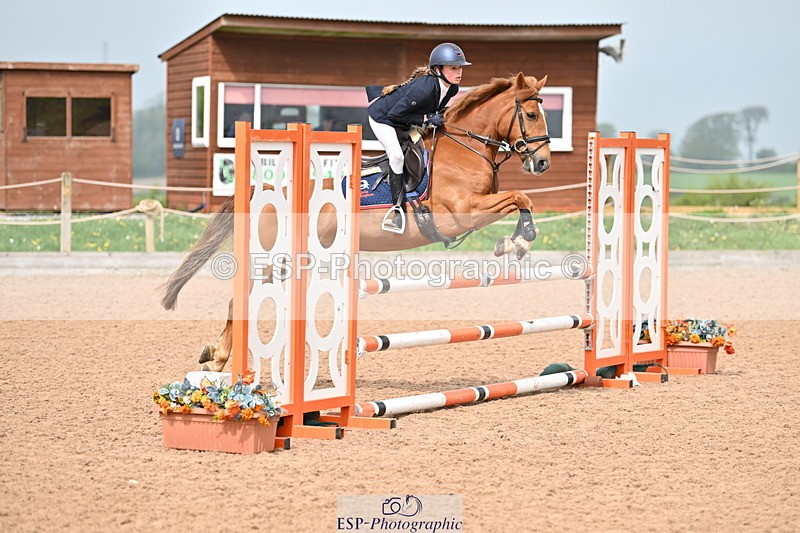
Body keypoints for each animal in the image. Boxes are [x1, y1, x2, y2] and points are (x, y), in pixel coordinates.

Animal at [161, 72, 552, 372]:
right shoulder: (461, 212)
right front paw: (517, 242)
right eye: (532, 114)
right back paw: (217, 358)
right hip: (275, 259)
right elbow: (520, 197)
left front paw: (515, 241)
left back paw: (217, 355)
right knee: (239, 299)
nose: (543, 163)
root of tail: (267, 191)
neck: (464, 151)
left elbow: (522, 200)